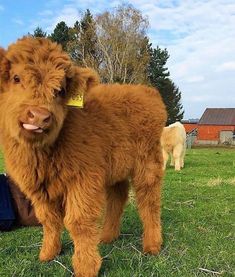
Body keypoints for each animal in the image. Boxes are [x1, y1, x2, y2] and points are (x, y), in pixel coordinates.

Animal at [0, 37, 166, 276]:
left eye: (60, 90)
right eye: (16, 78)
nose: (39, 116)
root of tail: (146, 91)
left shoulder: (83, 180)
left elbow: (78, 221)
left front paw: (86, 266)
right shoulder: (39, 188)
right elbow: (49, 220)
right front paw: (48, 254)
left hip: (148, 163)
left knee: (149, 201)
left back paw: (152, 245)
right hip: (115, 167)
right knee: (117, 198)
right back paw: (107, 236)